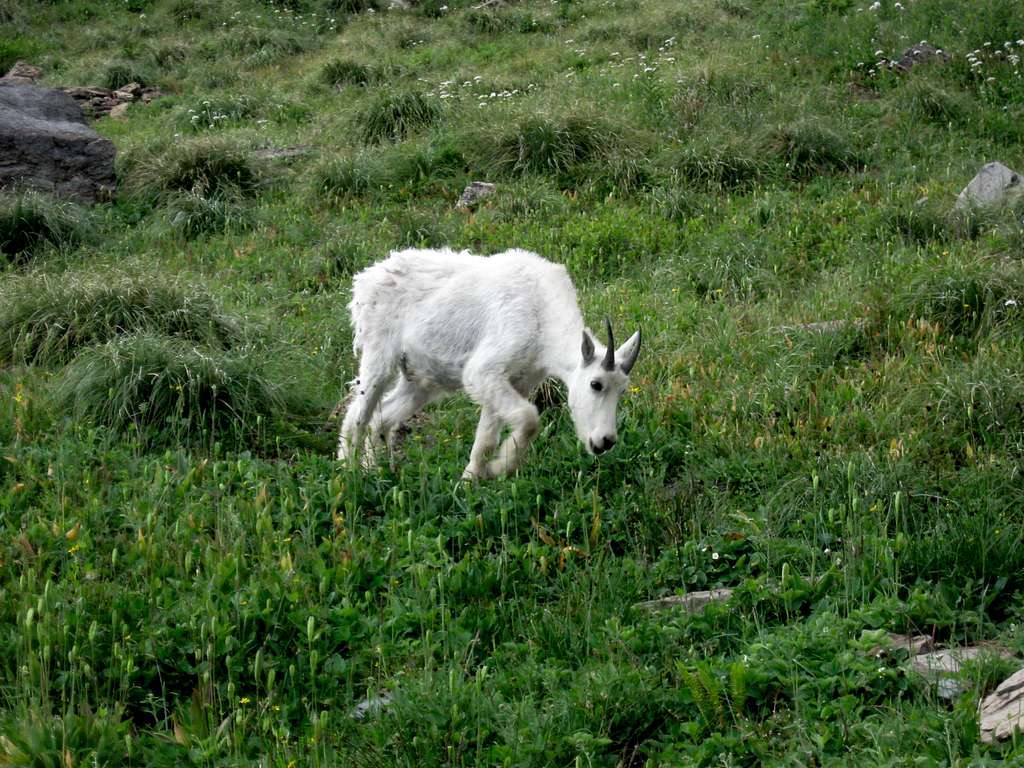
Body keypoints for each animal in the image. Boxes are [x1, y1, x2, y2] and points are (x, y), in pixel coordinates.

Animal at [335, 249, 638, 479]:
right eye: (595, 384)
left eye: (622, 390)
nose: (605, 441)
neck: (541, 315)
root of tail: (366, 279)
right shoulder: (483, 372)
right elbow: (529, 418)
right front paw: (498, 468)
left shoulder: (512, 382)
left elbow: (486, 439)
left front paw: (471, 481)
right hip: (378, 355)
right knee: (357, 416)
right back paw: (349, 474)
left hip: (420, 379)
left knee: (383, 417)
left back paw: (377, 470)